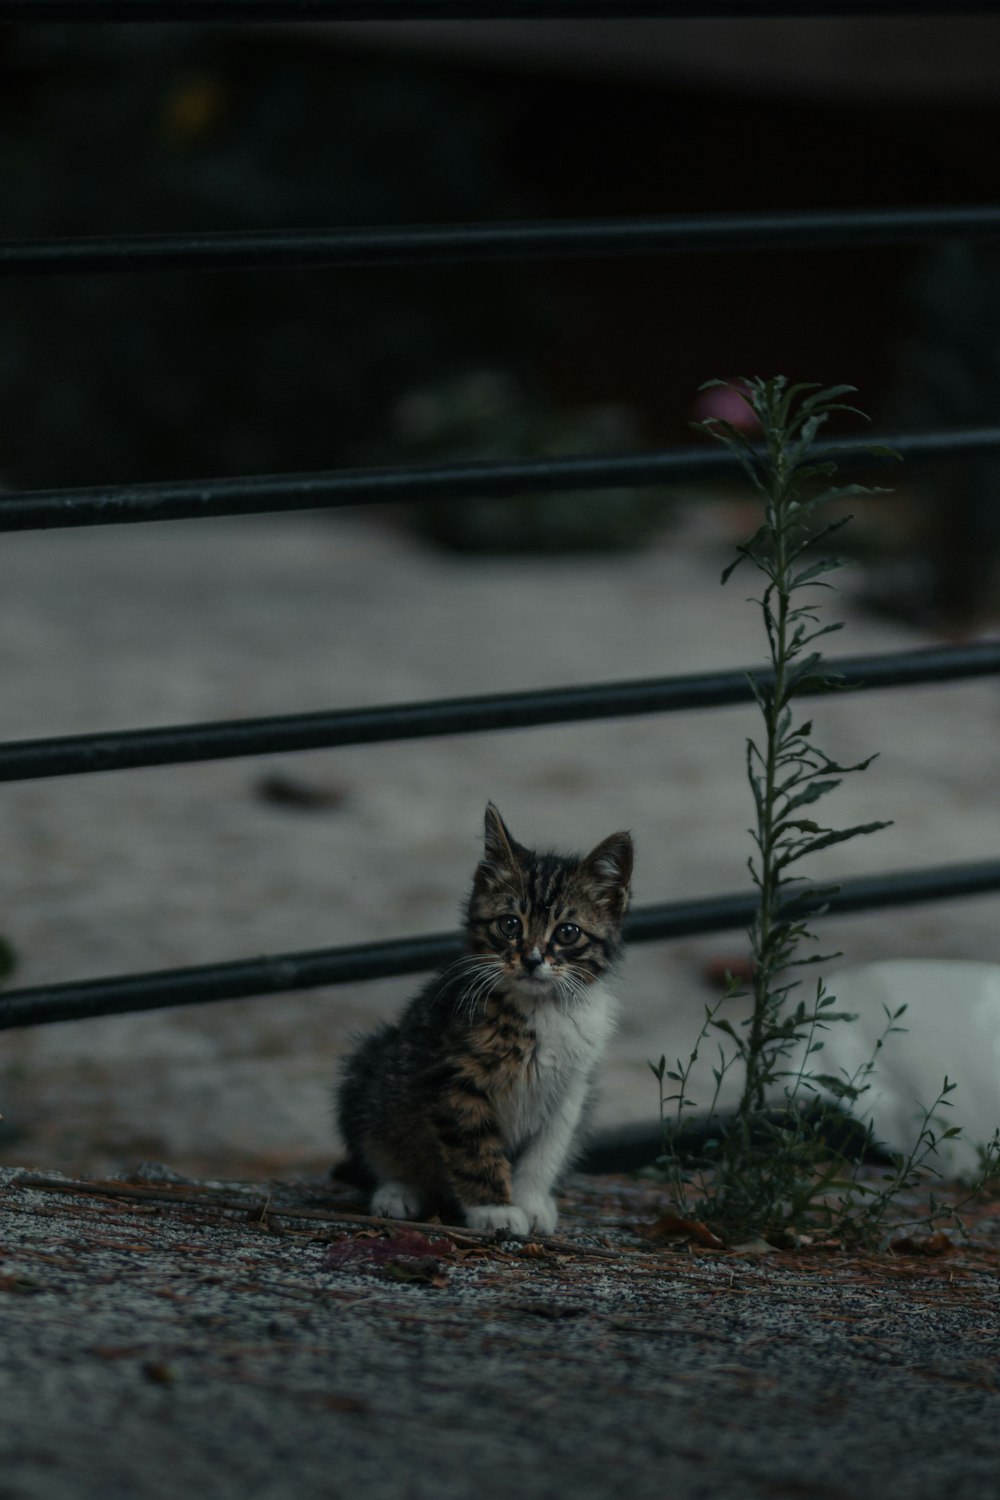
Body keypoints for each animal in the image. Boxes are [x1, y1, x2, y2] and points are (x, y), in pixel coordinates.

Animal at [335, 804, 632, 1236]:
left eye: (567, 932)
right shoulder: (453, 1079)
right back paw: (398, 1192)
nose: (532, 959)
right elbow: (474, 1149)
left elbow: (546, 1151)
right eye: (510, 925)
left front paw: (530, 1202)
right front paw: (495, 1210)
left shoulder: (572, 1088)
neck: (542, 1008)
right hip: (373, 1072)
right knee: (380, 1148)